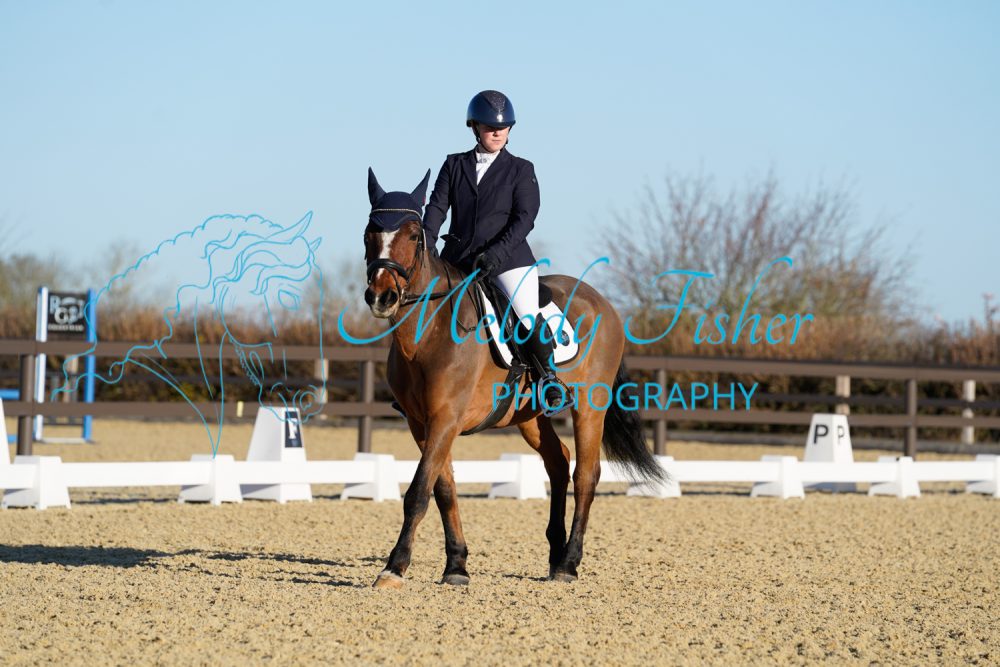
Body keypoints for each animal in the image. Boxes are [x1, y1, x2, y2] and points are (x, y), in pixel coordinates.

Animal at [357, 169, 664, 588]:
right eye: (369, 233)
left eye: (414, 235)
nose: (381, 296)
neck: (428, 334)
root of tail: (603, 302)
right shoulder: (423, 425)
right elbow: (444, 489)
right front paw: (456, 566)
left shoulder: (446, 419)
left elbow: (419, 491)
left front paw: (394, 567)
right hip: (529, 416)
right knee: (559, 461)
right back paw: (555, 554)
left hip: (590, 407)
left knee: (586, 474)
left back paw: (568, 564)